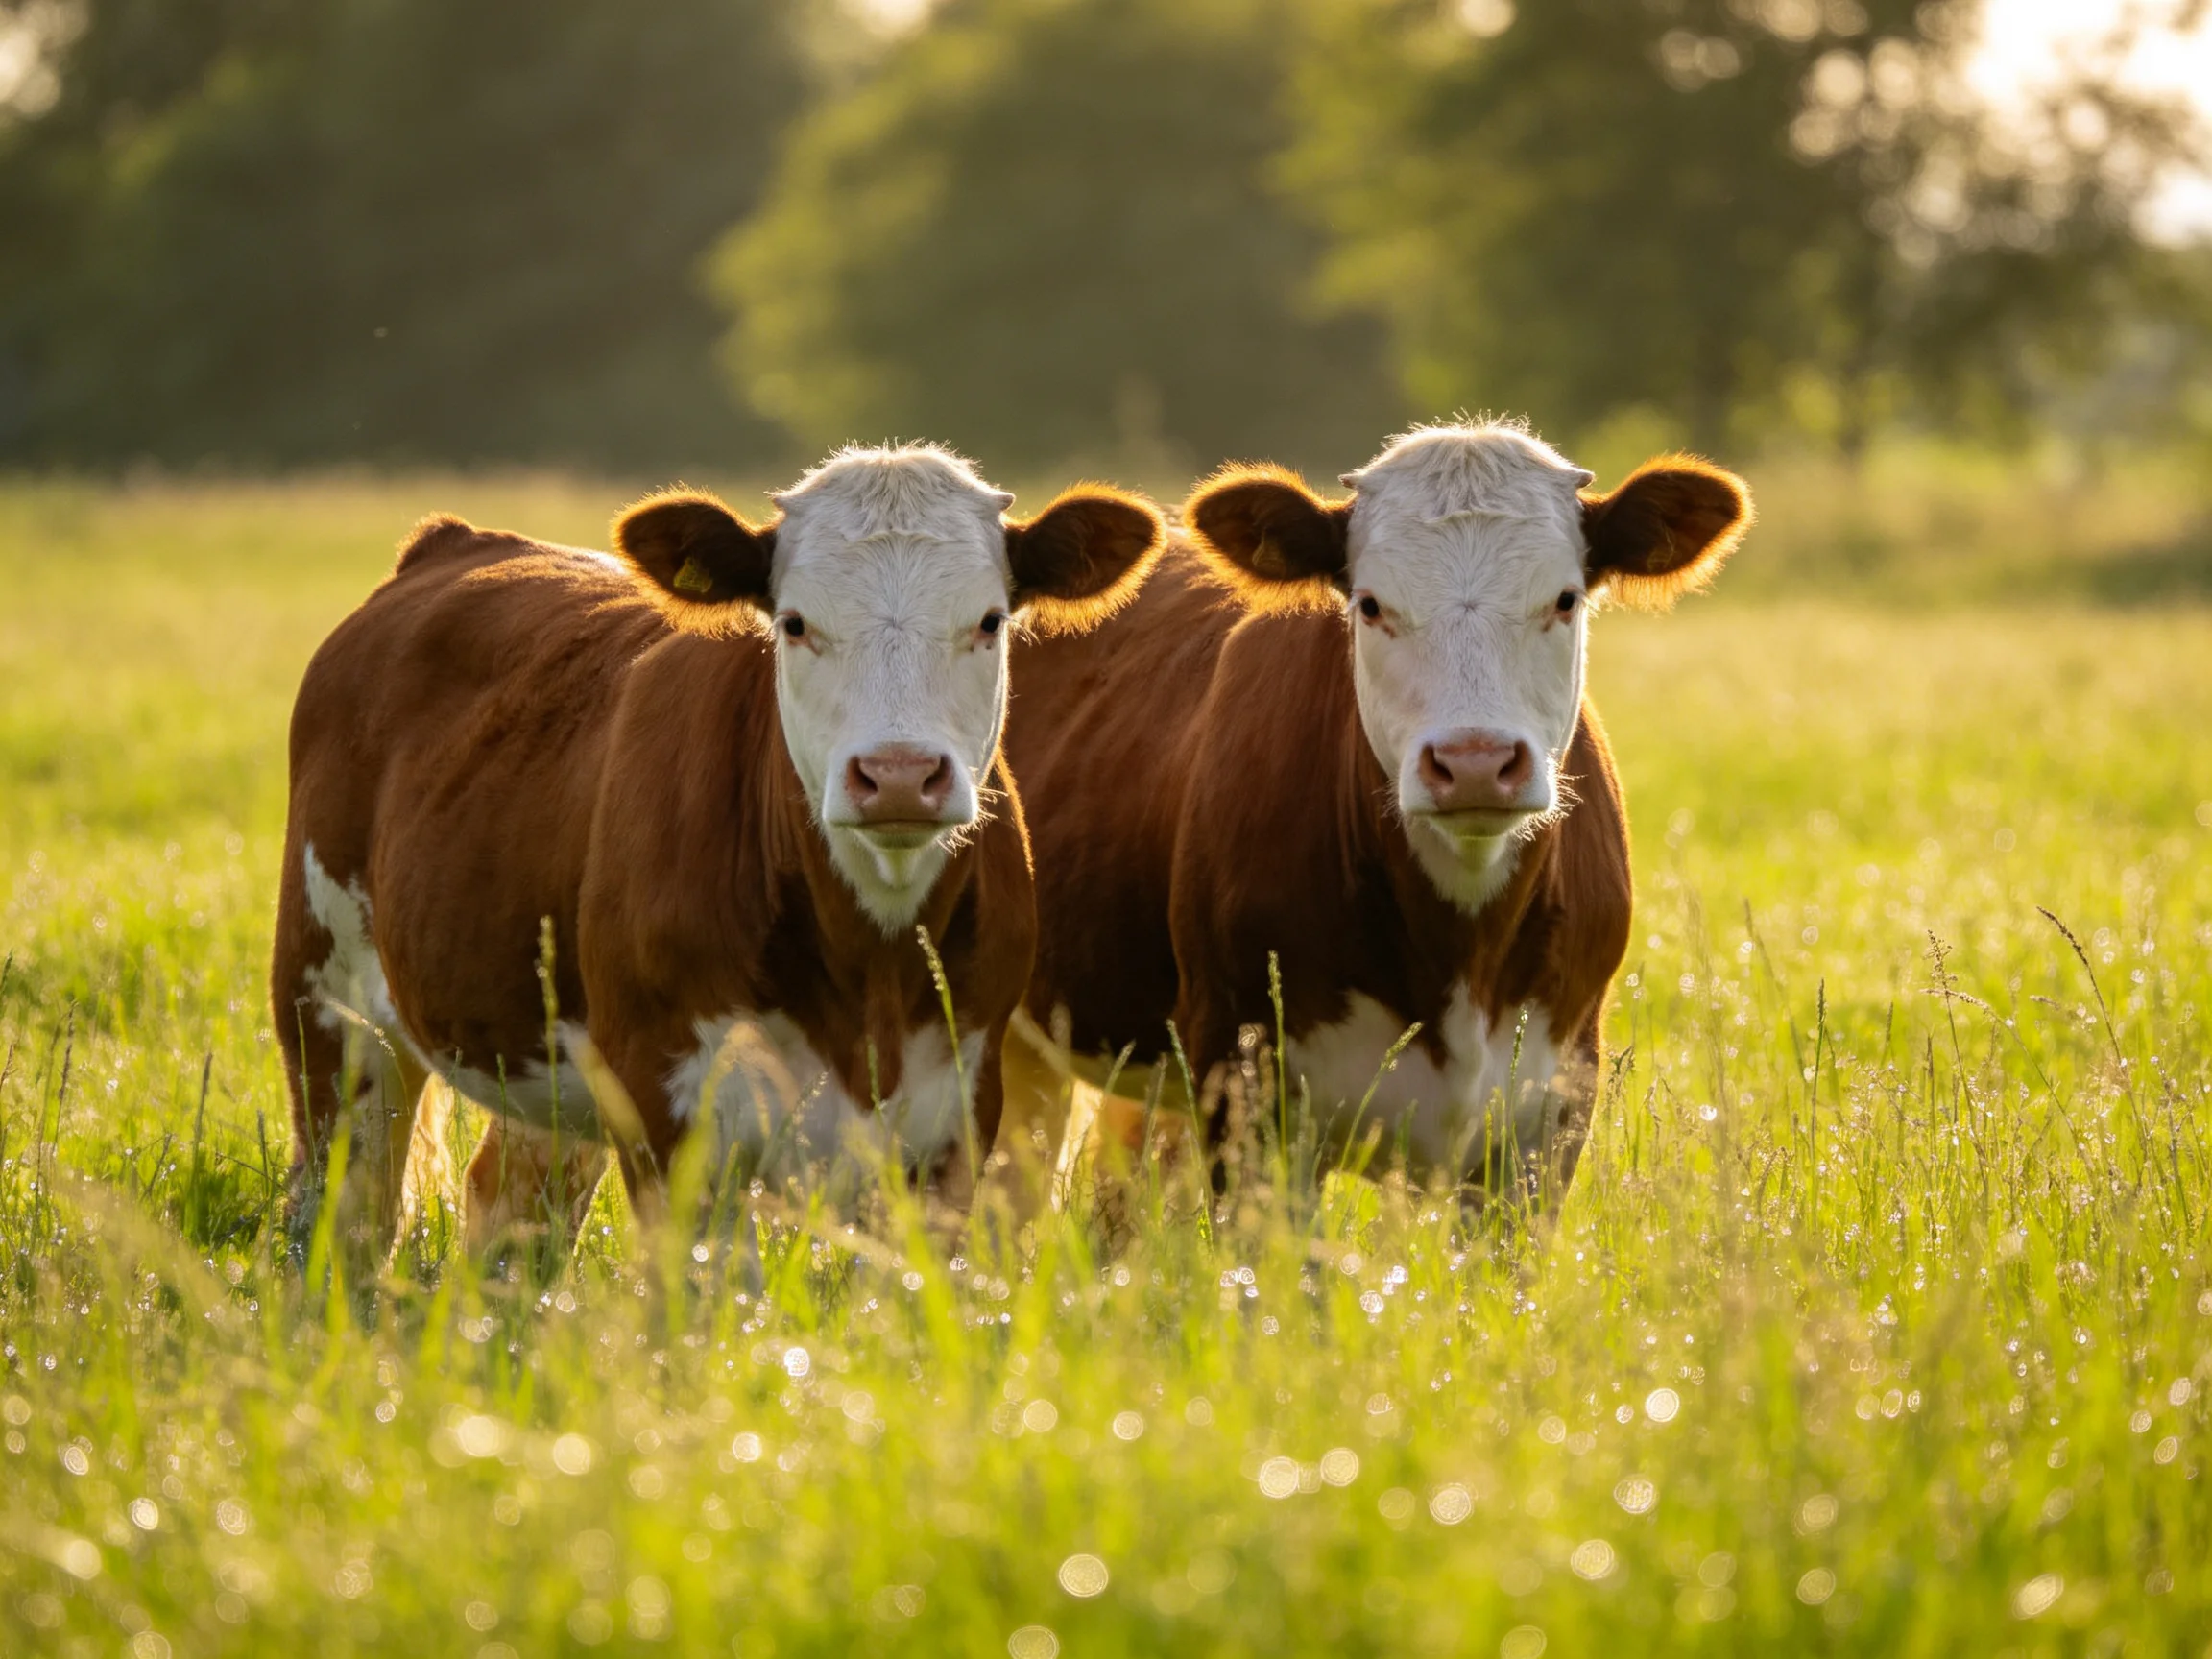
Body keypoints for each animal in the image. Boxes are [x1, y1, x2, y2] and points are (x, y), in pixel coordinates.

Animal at [271, 443, 1164, 1276]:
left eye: (989, 620)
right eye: (795, 623)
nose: (899, 775)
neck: (867, 970)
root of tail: (452, 542)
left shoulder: (958, 1120)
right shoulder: (675, 1118)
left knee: (511, 1206)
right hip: (327, 1006)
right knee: (345, 1212)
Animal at [1002, 421, 1749, 1207]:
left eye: (1566, 599)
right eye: (1370, 605)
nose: (1474, 760)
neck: (1461, 954)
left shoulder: (1551, 1113)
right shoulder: (1243, 1085)